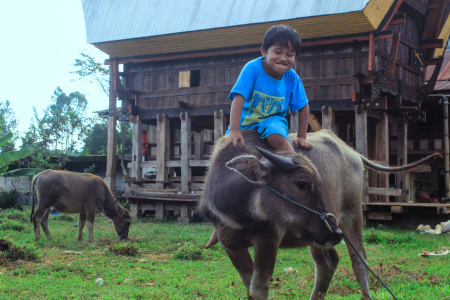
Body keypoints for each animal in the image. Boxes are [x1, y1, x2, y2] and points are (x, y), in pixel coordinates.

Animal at [199, 130, 442, 300]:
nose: (335, 232)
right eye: (303, 184)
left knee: (359, 260)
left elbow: (258, 290)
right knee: (328, 262)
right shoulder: (230, 244)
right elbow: (248, 286)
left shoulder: (269, 240)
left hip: (350, 216)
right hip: (316, 235)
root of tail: (353, 152)